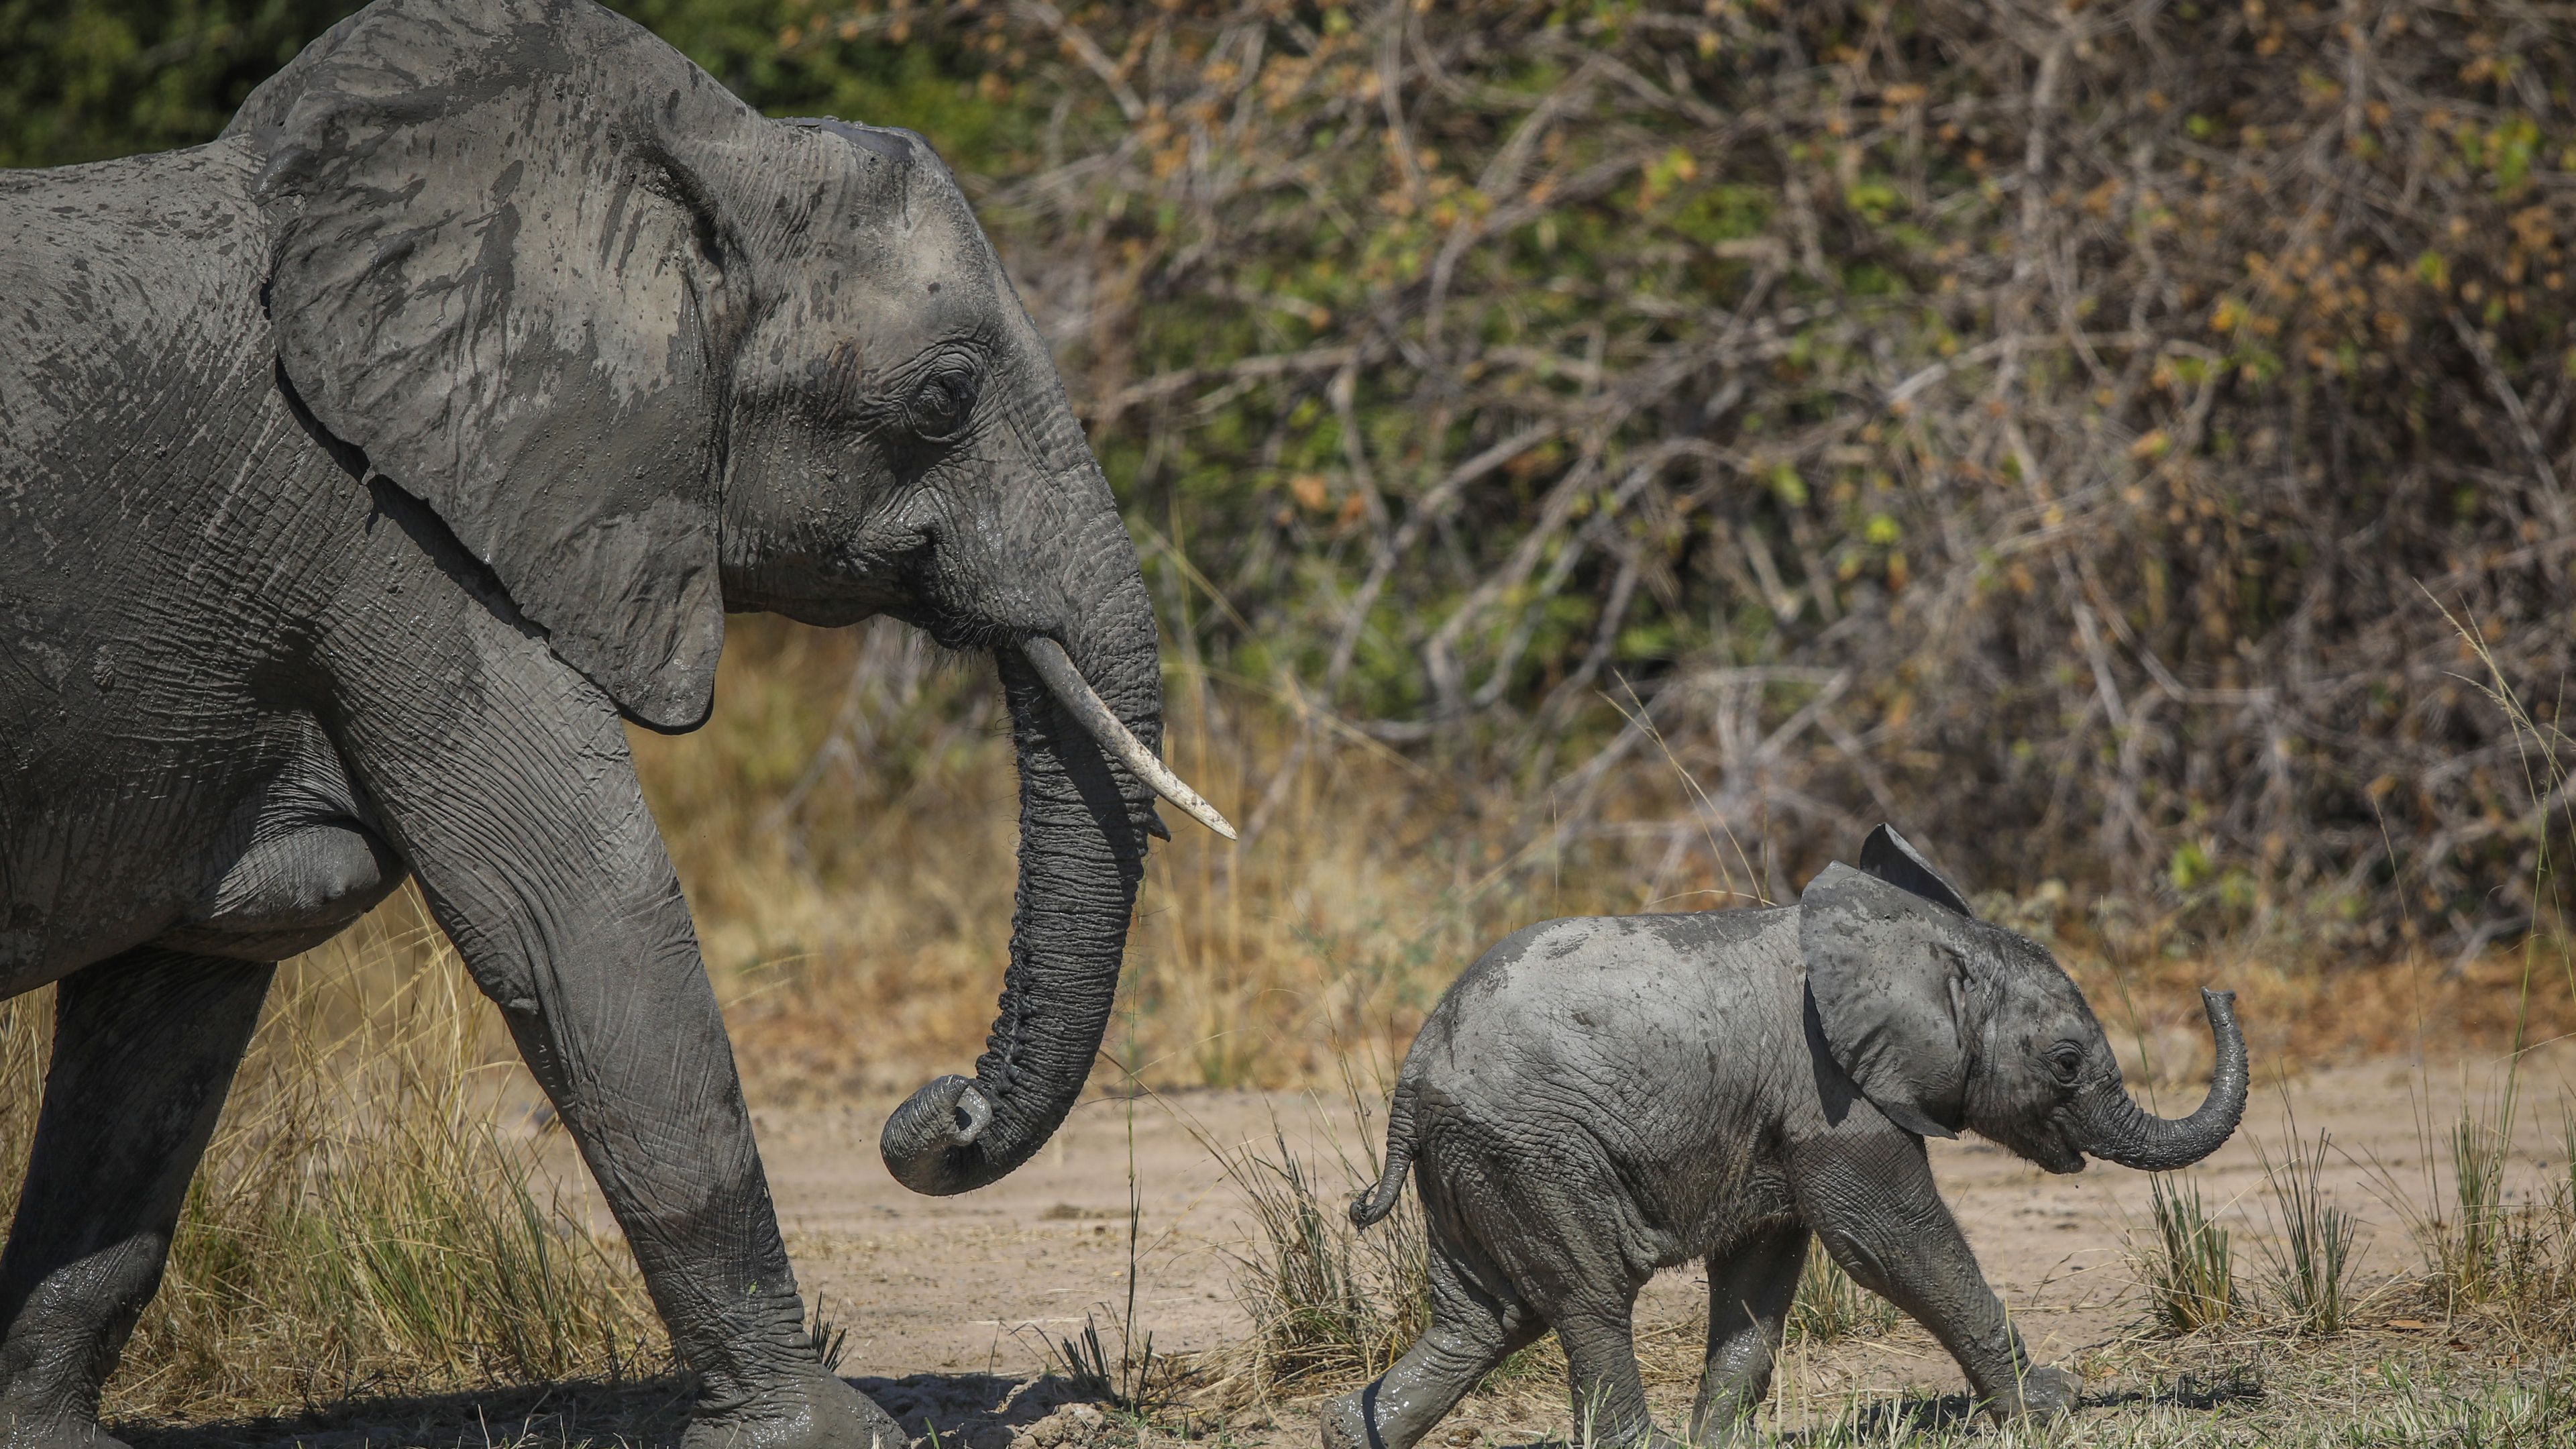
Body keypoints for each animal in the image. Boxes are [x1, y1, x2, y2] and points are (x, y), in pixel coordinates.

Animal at [0, 3, 1236, 1444]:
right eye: (941, 401)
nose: (944, 1109)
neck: (688, 172)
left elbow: (175, 1012)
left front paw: (49, 1434)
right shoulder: (405, 541)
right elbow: (582, 917)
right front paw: (824, 1428)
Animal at [1339, 824, 2246, 1444]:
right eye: (2065, 1063)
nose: (2216, 988)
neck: (1916, 936)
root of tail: (1414, 1068)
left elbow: (1762, 1271)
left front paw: (1720, 1442)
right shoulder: (1833, 1094)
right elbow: (1888, 1240)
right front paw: (2050, 1408)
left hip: (1476, 1159)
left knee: (1485, 1319)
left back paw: (1349, 1429)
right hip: (1534, 1150)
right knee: (1587, 1298)